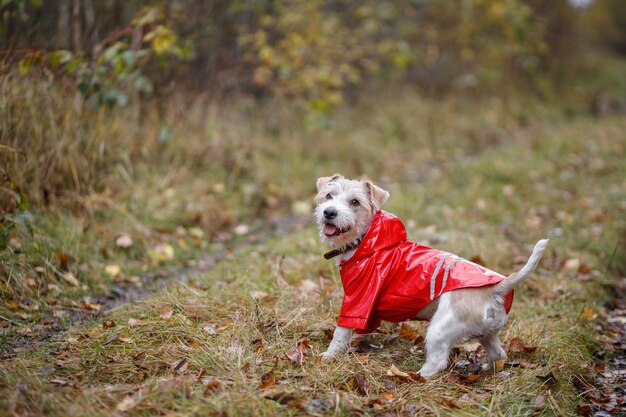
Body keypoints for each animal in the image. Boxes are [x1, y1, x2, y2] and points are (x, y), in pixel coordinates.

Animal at [312, 174, 544, 376]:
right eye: (328, 195)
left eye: (355, 202)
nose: (329, 212)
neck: (365, 241)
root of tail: (495, 288)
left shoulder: (358, 299)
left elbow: (341, 331)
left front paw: (329, 355)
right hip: (488, 334)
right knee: (498, 354)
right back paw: (488, 368)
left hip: (439, 330)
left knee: (438, 361)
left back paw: (415, 377)